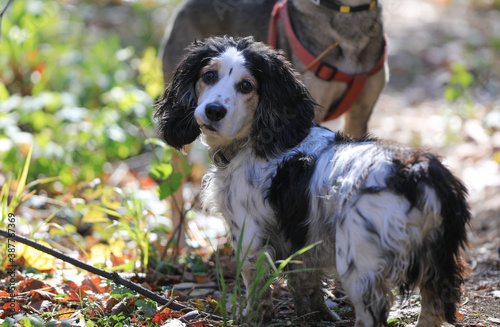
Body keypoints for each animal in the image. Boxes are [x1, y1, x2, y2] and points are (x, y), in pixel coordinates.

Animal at [155, 37, 468, 326]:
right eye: (208, 75)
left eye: (246, 86)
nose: (214, 110)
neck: (257, 140)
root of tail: (418, 173)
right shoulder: (303, 239)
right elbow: (306, 283)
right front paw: (314, 314)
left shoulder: (249, 233)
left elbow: (256, 287)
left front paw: (252, 317)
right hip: (437, 261)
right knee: (433, 307)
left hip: (360, 264)